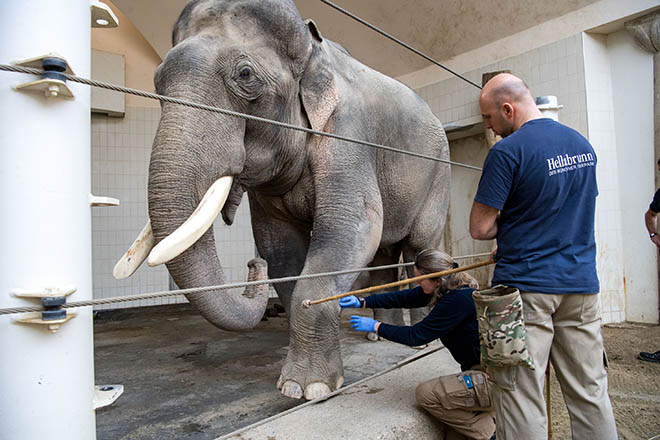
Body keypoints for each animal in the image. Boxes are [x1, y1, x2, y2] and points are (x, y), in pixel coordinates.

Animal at [114, 0, 448, 400]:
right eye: (155, 82)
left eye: (245, 75)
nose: (250, 264)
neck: (311, 48)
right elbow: (279, 248)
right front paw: (297, 384)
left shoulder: (349, 135)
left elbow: (353, 227)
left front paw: (308, 388)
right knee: (384, 251)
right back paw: (377, 337)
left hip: (439, 171)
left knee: (419, 247)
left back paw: (423, 342)